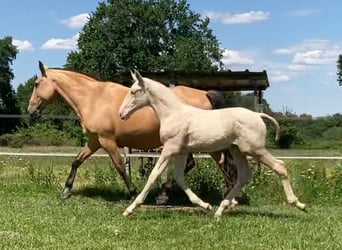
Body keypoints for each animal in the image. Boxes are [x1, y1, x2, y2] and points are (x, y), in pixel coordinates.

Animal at [28, 62, 235, 203]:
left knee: (220, 164)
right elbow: (76, 161)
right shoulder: (95, 141)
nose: (31, 111)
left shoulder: (107, 141)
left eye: (37, 84)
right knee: (206, 164)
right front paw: (66, 191)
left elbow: (120, 167)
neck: (93, 98)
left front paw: (133, 193)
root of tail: (205, 94)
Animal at [119, 70, 306, 217]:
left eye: (134, 92)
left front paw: (130, 209)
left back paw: (299, 204)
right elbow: (179, 177)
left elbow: (154, 175)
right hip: (237, 150)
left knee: (279, 166)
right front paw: (205, 205)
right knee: (244, 175)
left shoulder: (170, 149)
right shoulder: (181, 151)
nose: (121, 114)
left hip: (254, 149)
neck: (173, 114)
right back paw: (220, 210)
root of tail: (258, 115)